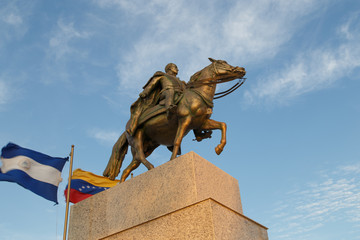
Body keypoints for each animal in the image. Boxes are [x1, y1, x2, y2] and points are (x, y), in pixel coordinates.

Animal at [102, 58, 246, 182]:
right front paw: (172, 160)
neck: (198, 95)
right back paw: (151, 167)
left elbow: (223, 125)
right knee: (139, 156)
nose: (241, 69)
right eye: (222, 63)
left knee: (129, 167)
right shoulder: (184, 121)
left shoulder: (202, 123)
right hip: (136, 137)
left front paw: (219, 148)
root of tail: (126, 129)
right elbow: (177, 141)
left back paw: (122, 184)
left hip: (148, 146)